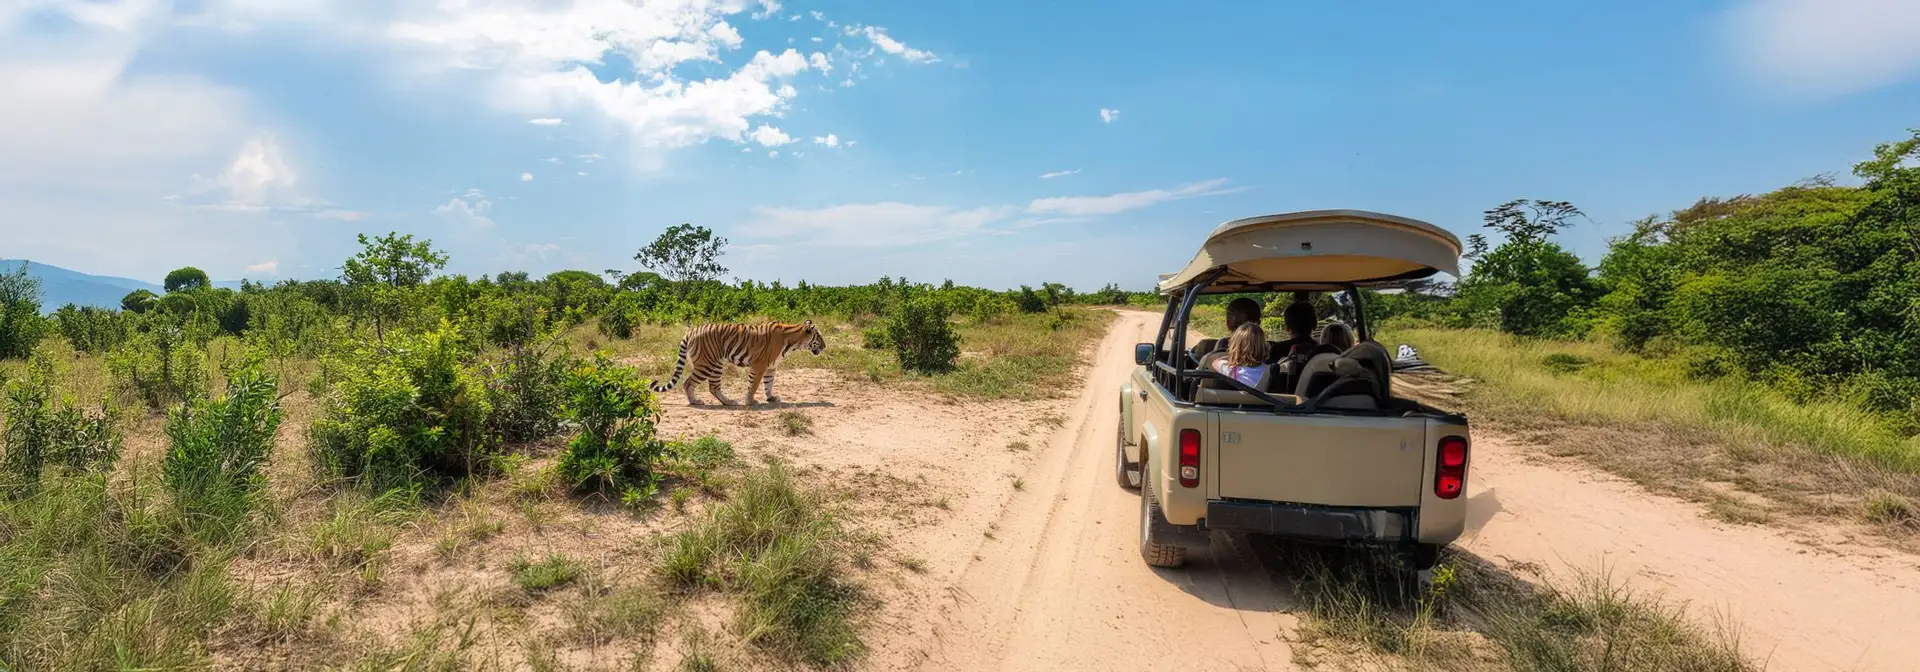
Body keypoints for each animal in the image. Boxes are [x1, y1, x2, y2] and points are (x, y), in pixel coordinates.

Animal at [648, 320, 827, 406]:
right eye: (819, 337)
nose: (825, 346)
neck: (793, 342)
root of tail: (691, 330)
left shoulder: (771, 367)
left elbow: (768, 384)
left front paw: (771, 398)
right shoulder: (759, 365)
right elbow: (753, 385)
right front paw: (750, 402)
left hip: (717, 364)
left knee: (713, 387)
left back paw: (729, 402)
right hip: (706, 364)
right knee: (688, 383)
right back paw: (695, 402)